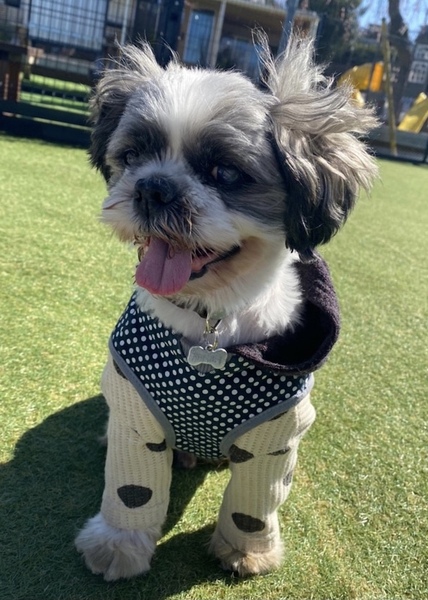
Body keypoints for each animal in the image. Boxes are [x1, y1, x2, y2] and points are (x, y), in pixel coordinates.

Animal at [75, 36, 378, 580]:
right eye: (132, 156)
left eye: (225, 172)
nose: (154, 186)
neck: (210, 320)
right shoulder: (136, 416)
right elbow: (132, 492)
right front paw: (117, 546)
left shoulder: (276, 438)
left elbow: (254, 504)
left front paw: (247, 551)